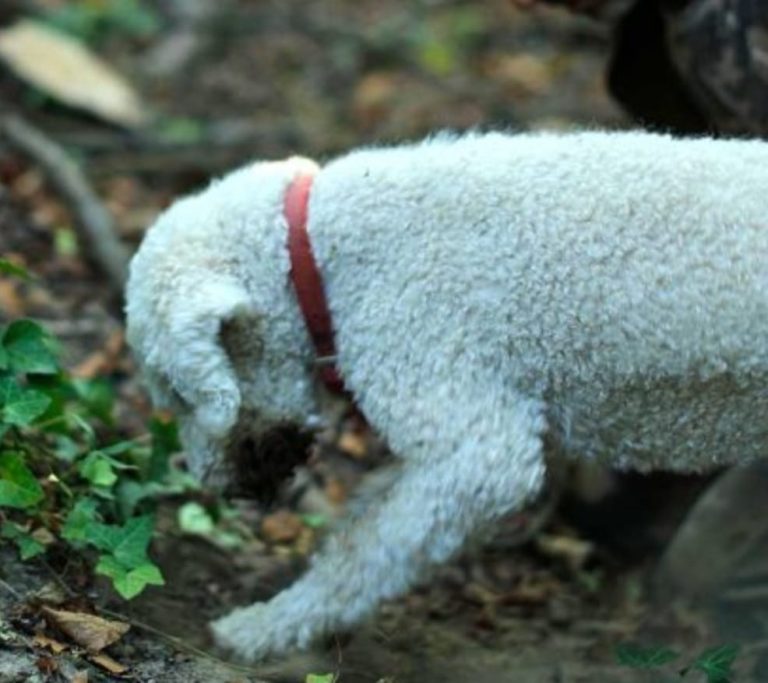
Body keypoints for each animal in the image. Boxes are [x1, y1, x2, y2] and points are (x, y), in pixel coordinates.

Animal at [126, 130, 768, 664]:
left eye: (179, 395)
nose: (214, 484)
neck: (318, 252)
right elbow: (364, 526)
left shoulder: (475, 443)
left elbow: (371, 552)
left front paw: (266, 628)